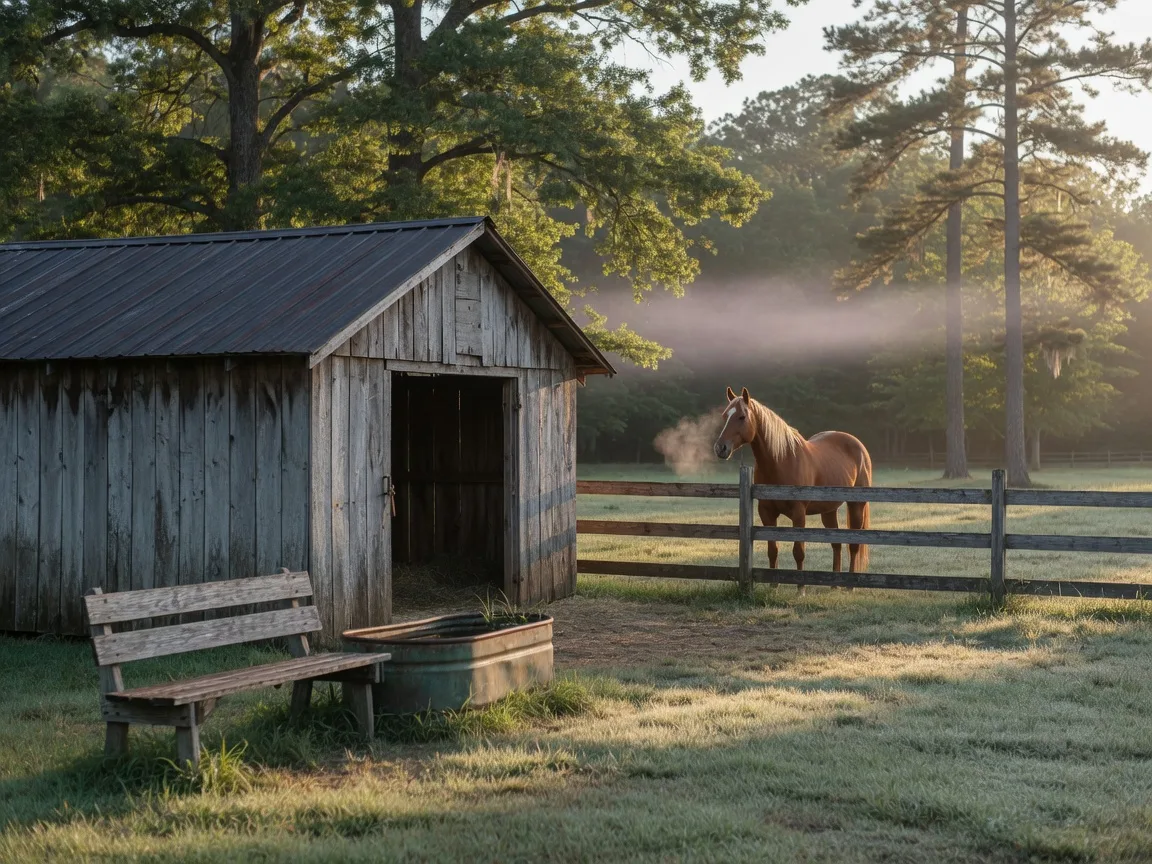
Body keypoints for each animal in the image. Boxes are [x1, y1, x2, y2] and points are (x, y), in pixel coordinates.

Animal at [713, 387, 872, 589]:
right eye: (725, 416)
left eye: (741, 416)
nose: (720, 448)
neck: (782, 460)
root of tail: (859, 446)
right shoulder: (767, 512)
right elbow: (773, 549)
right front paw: (773, 587)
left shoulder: (798, 513)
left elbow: (798, 551)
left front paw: (800, 589)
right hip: (829, 510)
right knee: (836, 544)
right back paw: (835, 585)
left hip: (856, 505)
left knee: (854, 545)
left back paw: (850, 586)